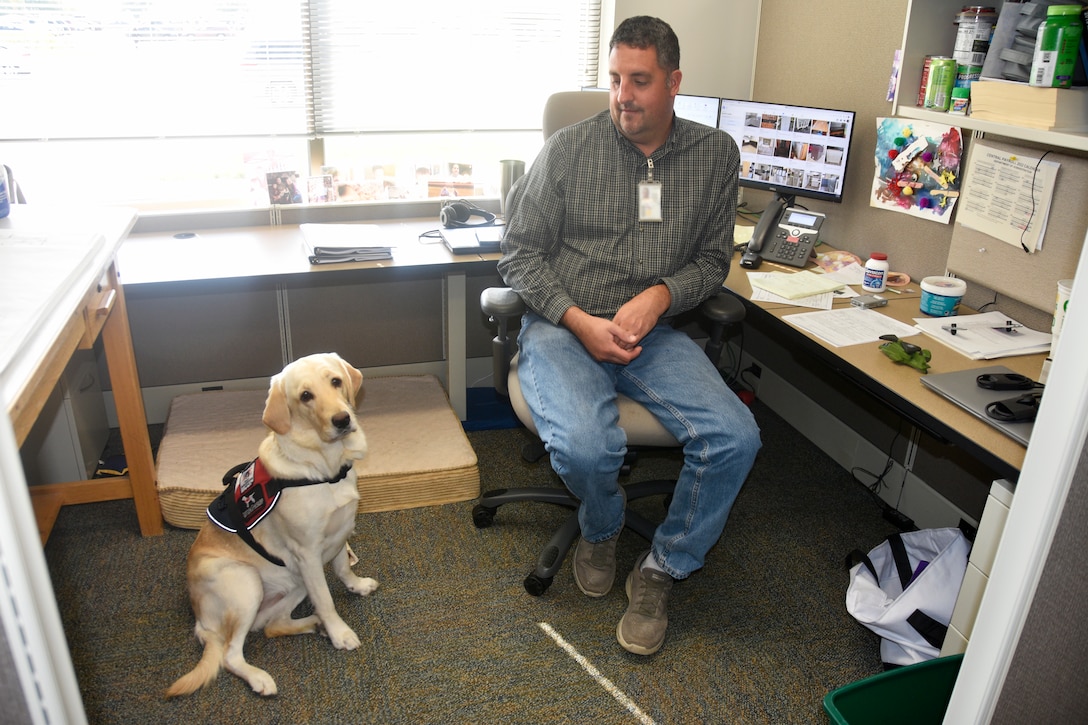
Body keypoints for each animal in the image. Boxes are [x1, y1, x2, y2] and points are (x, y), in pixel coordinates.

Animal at [165, 350, 378, 696]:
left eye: (335, 381)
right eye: (305, 396)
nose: (342, 420)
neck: (325, 468)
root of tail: (200, 621)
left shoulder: (339, 531)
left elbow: (344, 566)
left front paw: (357, 585)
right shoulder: (307, 553)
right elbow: (327, 600)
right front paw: (340, 633)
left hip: (294, 581)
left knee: (271, 626)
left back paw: (312, 624)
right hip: (247, 582)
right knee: (230, 654)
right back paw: (261, 678)